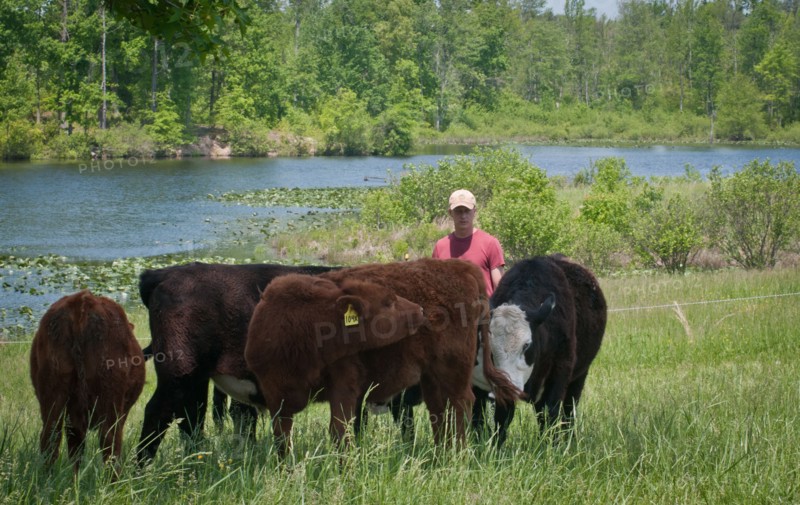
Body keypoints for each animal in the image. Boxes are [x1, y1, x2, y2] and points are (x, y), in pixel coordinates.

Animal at [135, 262, 335, 463]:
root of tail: (166, 272)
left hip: (196, 378)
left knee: (192, 417)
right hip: (178, 373)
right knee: (157, 413)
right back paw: (144, 466)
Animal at [245, 258, 524, 455]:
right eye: (388, 302)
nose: (419, 311)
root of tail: (463, 268)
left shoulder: (343, 386)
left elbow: (339, 431)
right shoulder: (276, 398)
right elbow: (283, 439)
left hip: (452, 369)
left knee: (459, 405)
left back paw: (458, 456)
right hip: (431, 375)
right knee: (438, 411)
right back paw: (440, 456)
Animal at [472, 255, 607, 447]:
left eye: (527, 345)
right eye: (489, 348)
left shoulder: (560, 372)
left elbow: (550, 412)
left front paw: (551, 447)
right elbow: (503, 417)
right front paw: (498, 447)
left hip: (580, 375)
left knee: (568, 410)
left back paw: (569, 440)